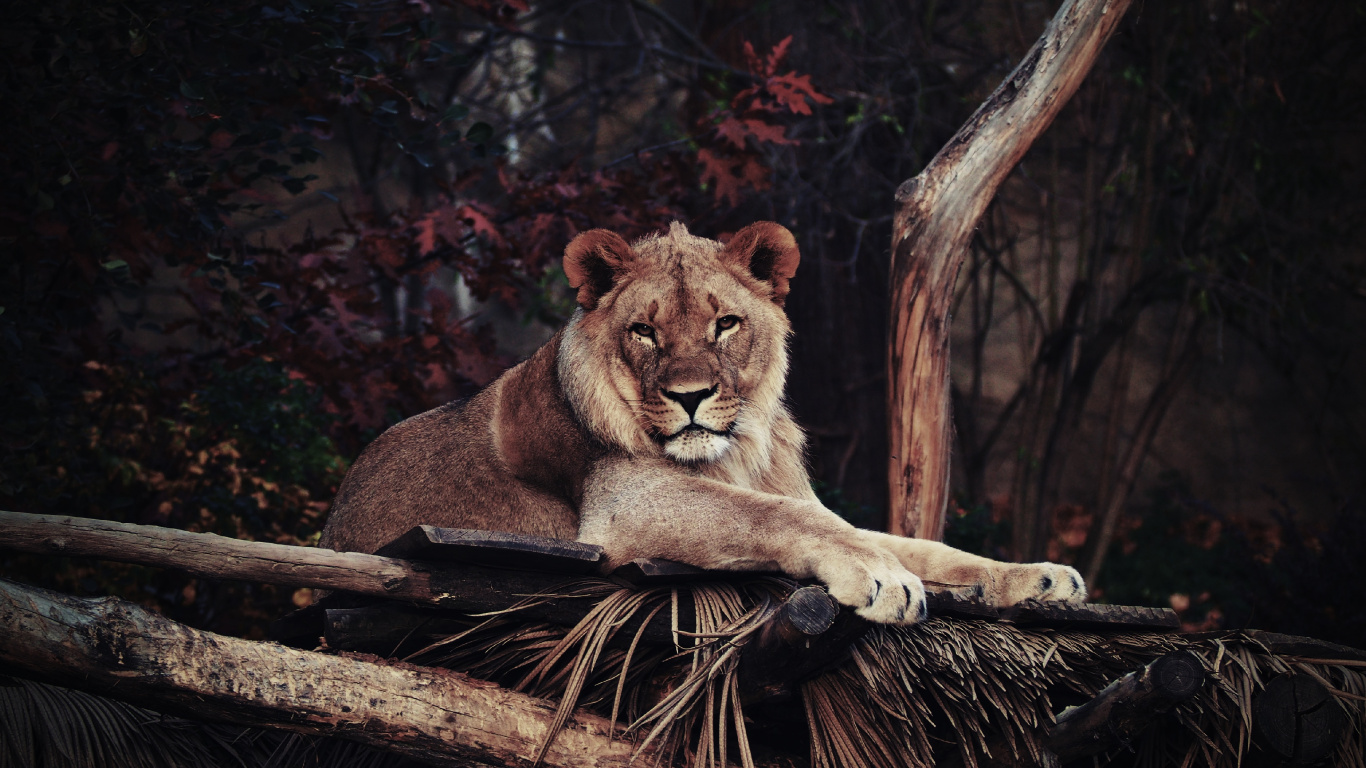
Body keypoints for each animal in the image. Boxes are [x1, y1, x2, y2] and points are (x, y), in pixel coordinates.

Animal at [320, 221, 1084, 624]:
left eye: (725, 324)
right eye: (644, 332)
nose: (690, 396)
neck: (735, 453)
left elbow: (920, 545)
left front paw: (1037, 577)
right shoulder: (626, 505)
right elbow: (781, 519)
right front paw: (879, 576)